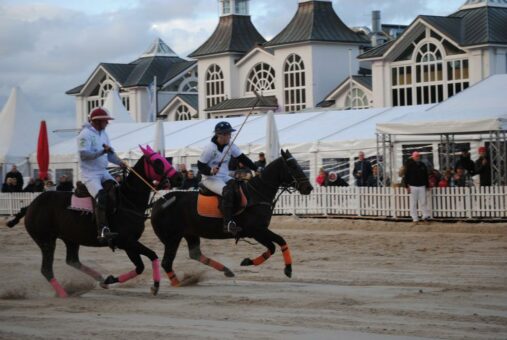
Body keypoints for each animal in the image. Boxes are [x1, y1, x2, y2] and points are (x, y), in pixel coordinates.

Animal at [4, 146, 177, 298]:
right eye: (158, 162)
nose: (178, 177)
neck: (128, 201)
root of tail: (30, 206)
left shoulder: (129, 242)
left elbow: (140, 266)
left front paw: (109, 280)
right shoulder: (126, 241)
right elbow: (152, 255)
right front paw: (155, 286)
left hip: (71, 239)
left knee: (72, 260)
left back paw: (98, 279)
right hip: (46, 240)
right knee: (46, 269)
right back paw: (64, 294)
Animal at [151, 150, 314, 286]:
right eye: (293, 166)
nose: (309, 188)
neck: (257, 194)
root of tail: (157, 203)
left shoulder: (258, 231)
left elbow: (276, 245)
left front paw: (249, 261)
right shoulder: (257, 230)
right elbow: (277, 243)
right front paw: (287, 269)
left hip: (190, 233)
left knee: (195, 254)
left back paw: (225, 271)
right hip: (172, 237)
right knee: (166, 262)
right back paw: (177, 284)